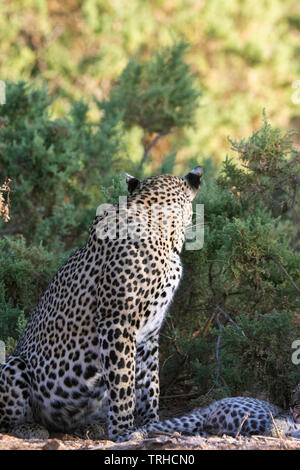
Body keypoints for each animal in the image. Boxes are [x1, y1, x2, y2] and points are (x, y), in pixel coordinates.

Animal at [0, 167, 204, 442]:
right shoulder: (117, 323)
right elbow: (123, 384)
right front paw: (123, 431)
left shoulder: (149, 334)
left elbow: (149, 383)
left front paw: (151, 424)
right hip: (15, 365)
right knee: (11, 419)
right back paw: (32, 429)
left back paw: (90, 427)